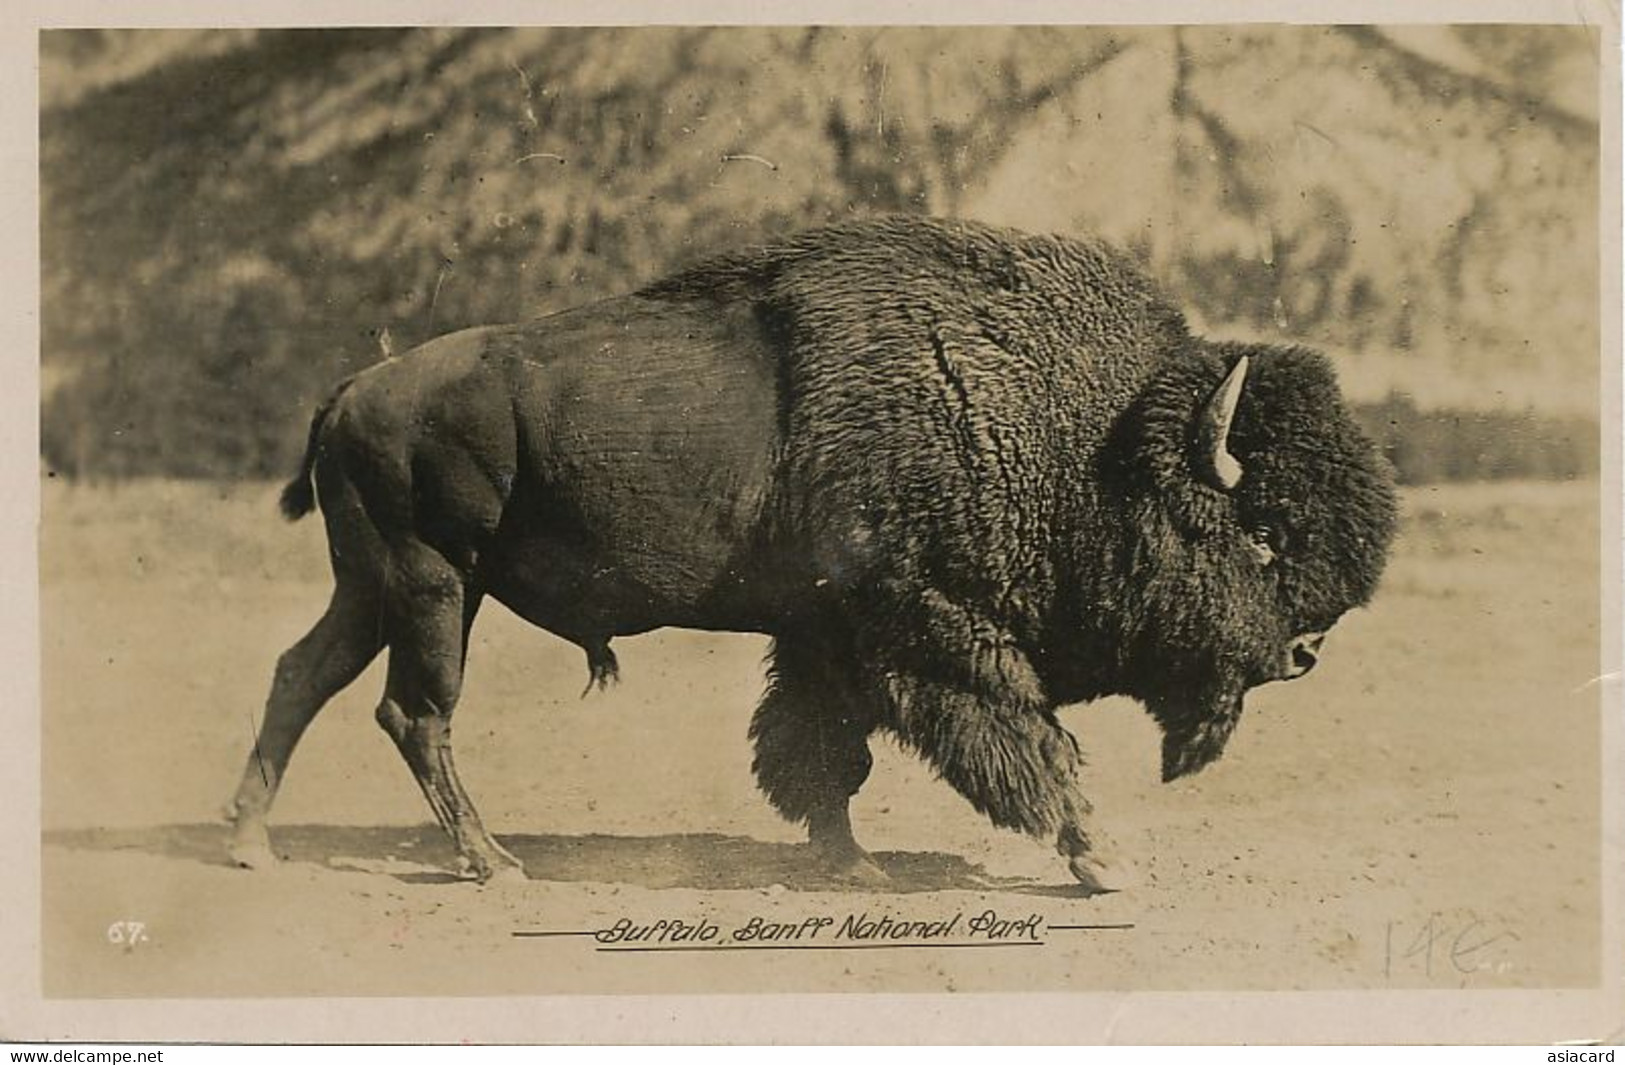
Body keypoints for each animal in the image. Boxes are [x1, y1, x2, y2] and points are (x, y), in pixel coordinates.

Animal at [225, 216, 1397, 891]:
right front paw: (1099, 858)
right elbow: (1026, 742)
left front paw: (853, 865)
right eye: (1259, 534)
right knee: (413, 712)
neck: (1091, 443)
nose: (1302, 652)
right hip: (434, 584)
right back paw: (490, 861)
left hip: (375, 585)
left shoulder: (828, 636)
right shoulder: (937, 631)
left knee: (301, 674)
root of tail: (356, 388)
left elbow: (821, 752)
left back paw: (249, 841)